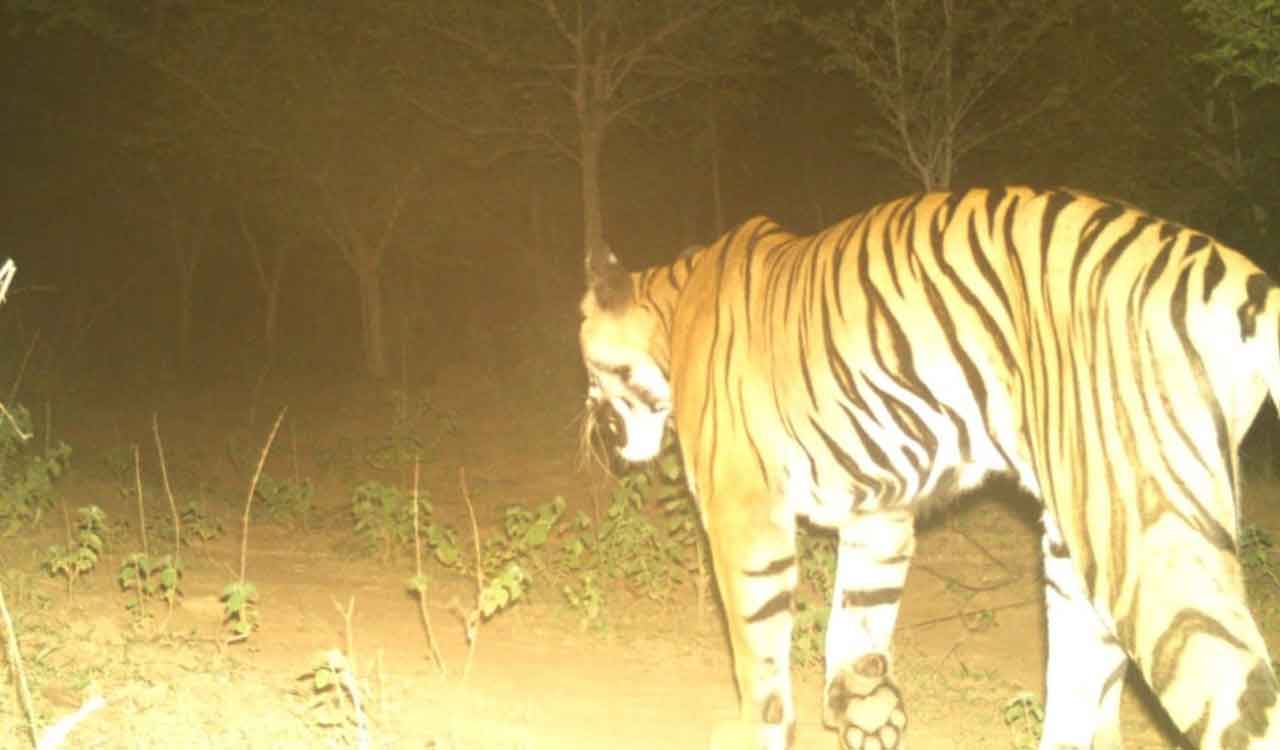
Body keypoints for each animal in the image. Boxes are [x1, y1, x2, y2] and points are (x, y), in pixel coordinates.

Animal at [578, 186, 1280, 750]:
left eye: (586, 362)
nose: (590, 421)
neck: (672, 308)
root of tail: (1241, 279)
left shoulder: (744, 511)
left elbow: (758, 653)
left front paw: (765, 727)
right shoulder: (880, 513)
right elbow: (859, 620)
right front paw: (867, 713)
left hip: (1150, 541)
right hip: (1079, 551)